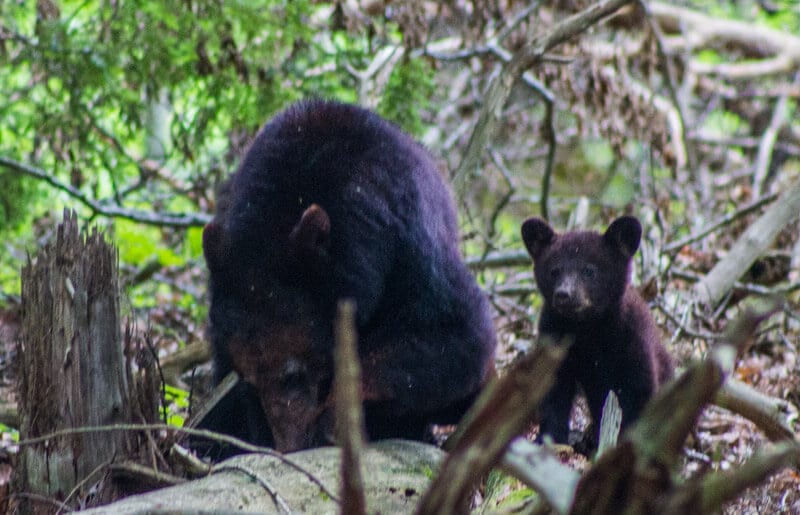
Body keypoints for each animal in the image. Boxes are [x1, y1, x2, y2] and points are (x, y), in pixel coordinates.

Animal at [200, 100, 496, 456]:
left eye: (293, 374)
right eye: (249, 379)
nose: (289, 446)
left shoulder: (409, 242)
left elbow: (456, 335)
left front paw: (334, 420)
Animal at [520, 216, 672, 450]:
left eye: (589, 271)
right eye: (554, 271)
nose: (564, 294)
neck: (588, 330)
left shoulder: (632, 342)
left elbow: (639, 390)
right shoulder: (554, 337)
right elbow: (553, 390)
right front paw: (549, 440)